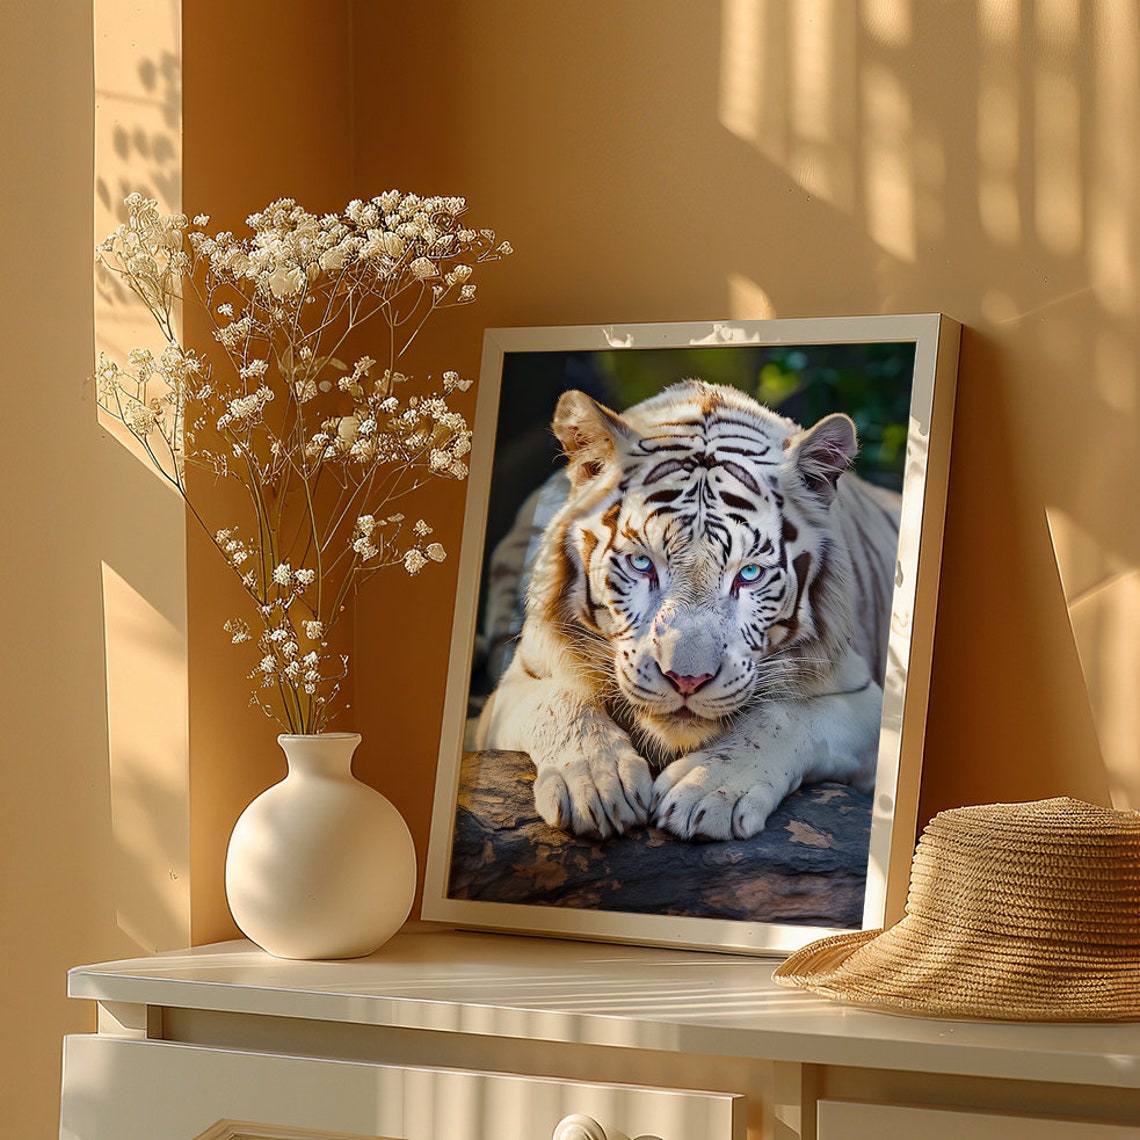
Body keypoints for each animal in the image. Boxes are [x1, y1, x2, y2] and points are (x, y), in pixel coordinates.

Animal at [475, 379, 901, 841]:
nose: (687, 680)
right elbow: (560, 701)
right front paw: (598, 784)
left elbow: (782, 716)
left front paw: (707, 788)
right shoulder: (515, 685)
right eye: (642, 563)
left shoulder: (866, 703)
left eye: (749, 573)